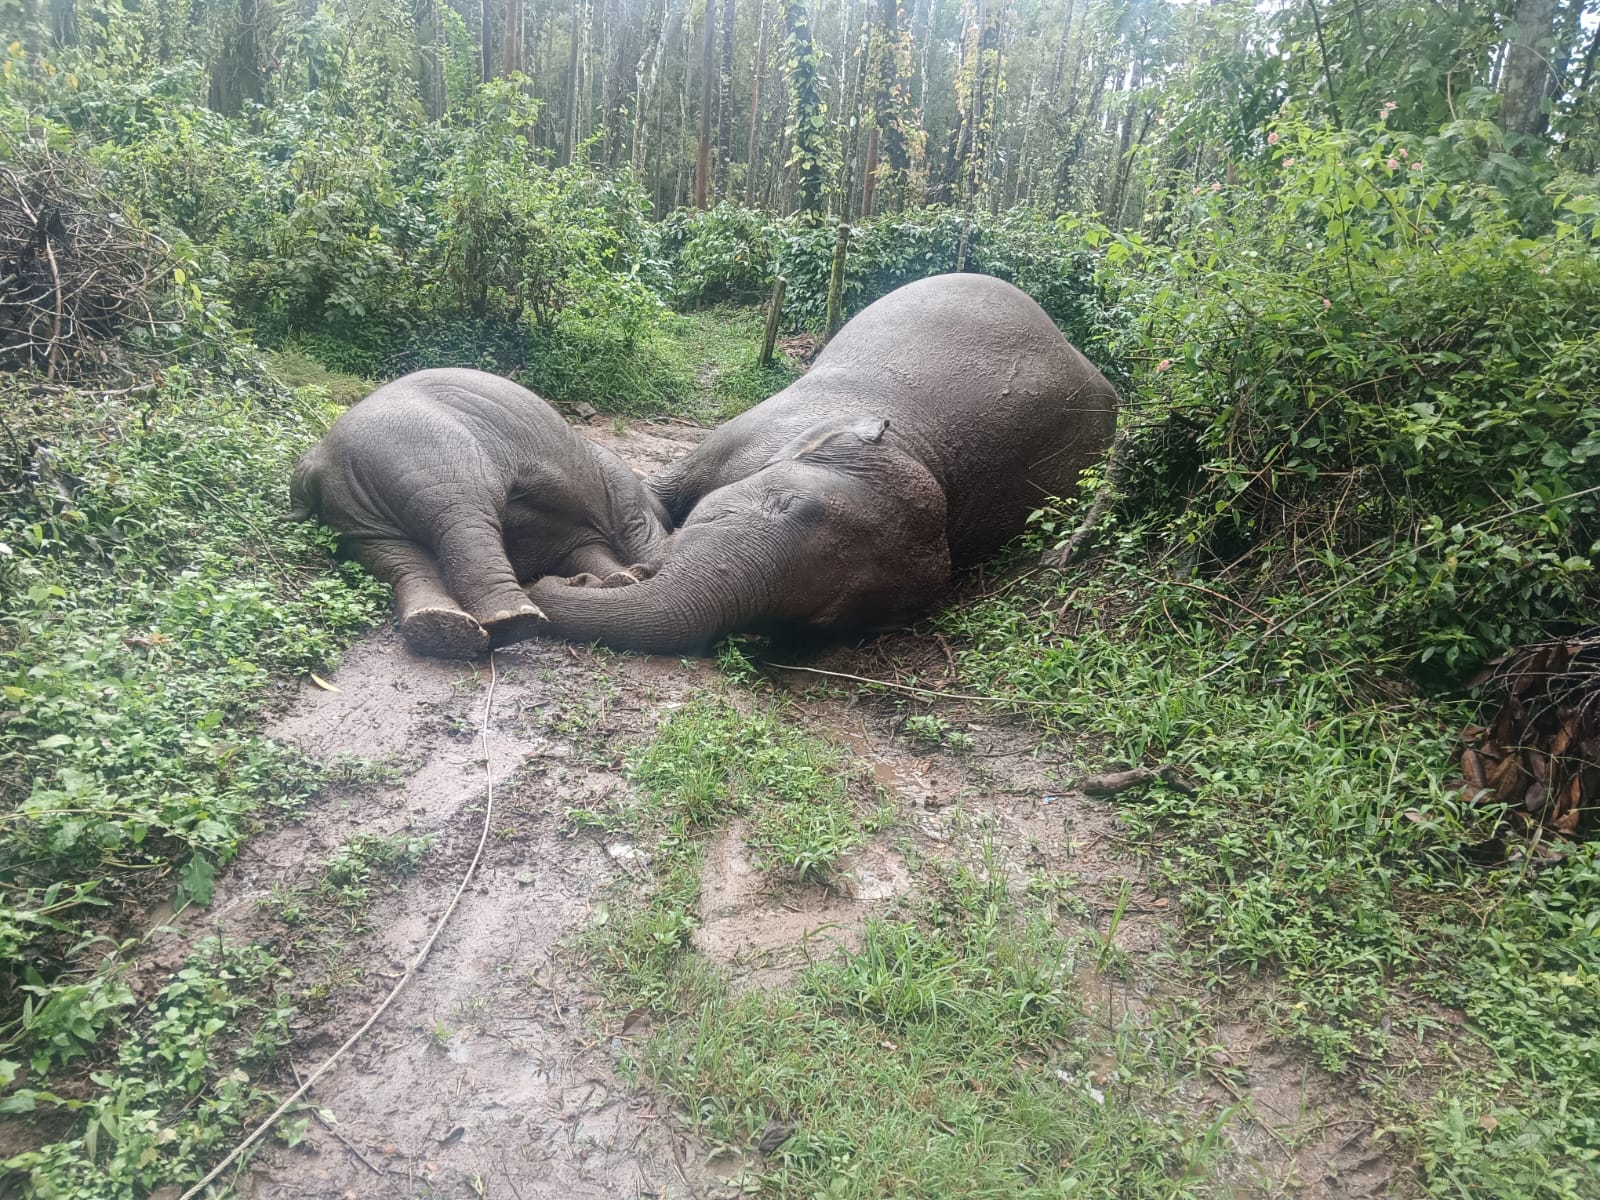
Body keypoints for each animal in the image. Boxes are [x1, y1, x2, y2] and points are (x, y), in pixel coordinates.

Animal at [290, 368, 669, 658]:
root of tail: (313, 462)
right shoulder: (621, 491)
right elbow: (629, 528)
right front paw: (633, 575)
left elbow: (582, 552)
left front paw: (621, 579)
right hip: (433, 461)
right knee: (464, 525)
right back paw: (514, 620)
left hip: (355, 511)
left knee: (395, 557)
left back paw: (440, 629)